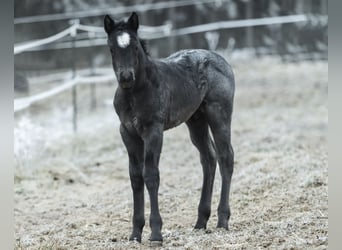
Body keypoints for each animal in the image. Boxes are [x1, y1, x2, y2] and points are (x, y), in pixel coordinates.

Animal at [103, 12, 234, 245]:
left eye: (134, 46)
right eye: (111, 48)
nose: (126, 77)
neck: (135, 92)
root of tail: (219, 59)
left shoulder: (153, 131)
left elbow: (151, 175)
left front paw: (156, 233)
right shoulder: (127, 133)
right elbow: (135, 177)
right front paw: (135, 233)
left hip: (219, 114)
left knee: (225, 157)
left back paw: (222, 220)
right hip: (196, 121)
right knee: (209, 158)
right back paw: (201, 221)